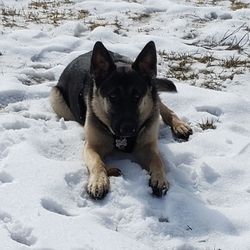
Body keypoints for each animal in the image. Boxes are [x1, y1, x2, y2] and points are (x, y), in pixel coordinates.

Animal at [49, 42, 192, 200]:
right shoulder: (91, 146)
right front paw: (99, 181)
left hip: (153, 95)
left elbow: (157, 160)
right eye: (113, 96)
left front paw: (159, 178)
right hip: (56, 98)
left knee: (163, 107)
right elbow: (97, 162)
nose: (127, 128)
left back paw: (180, 125)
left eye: (136, 96)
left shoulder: (148, 146)